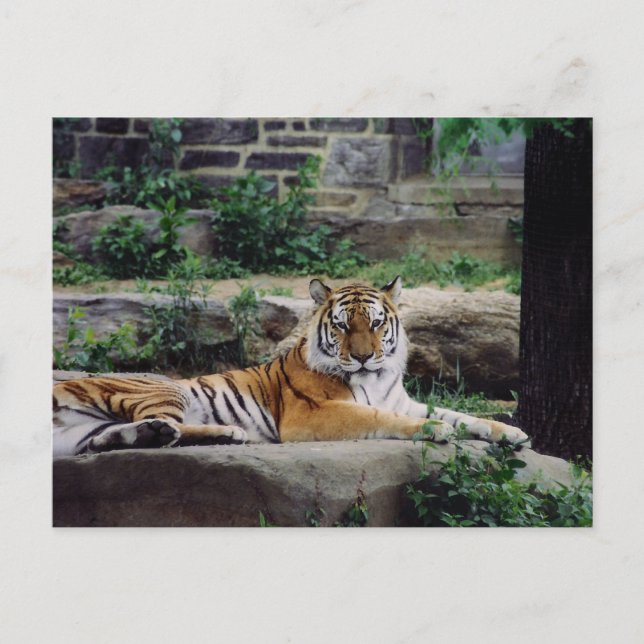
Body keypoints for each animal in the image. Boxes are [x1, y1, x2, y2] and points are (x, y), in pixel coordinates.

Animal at [53, 277, 528, 457]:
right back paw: (219, 433)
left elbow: (462, 414)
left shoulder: (404, 401)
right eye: (342, 325)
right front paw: (434, 430)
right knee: (164, 423)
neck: (377, 377)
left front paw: (513, 433)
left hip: (82, 435)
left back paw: (208, 434)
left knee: (109, 440)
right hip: (163, 387)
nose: (362, 356)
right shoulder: (312, 415)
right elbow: (380, 417)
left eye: (376, 323)